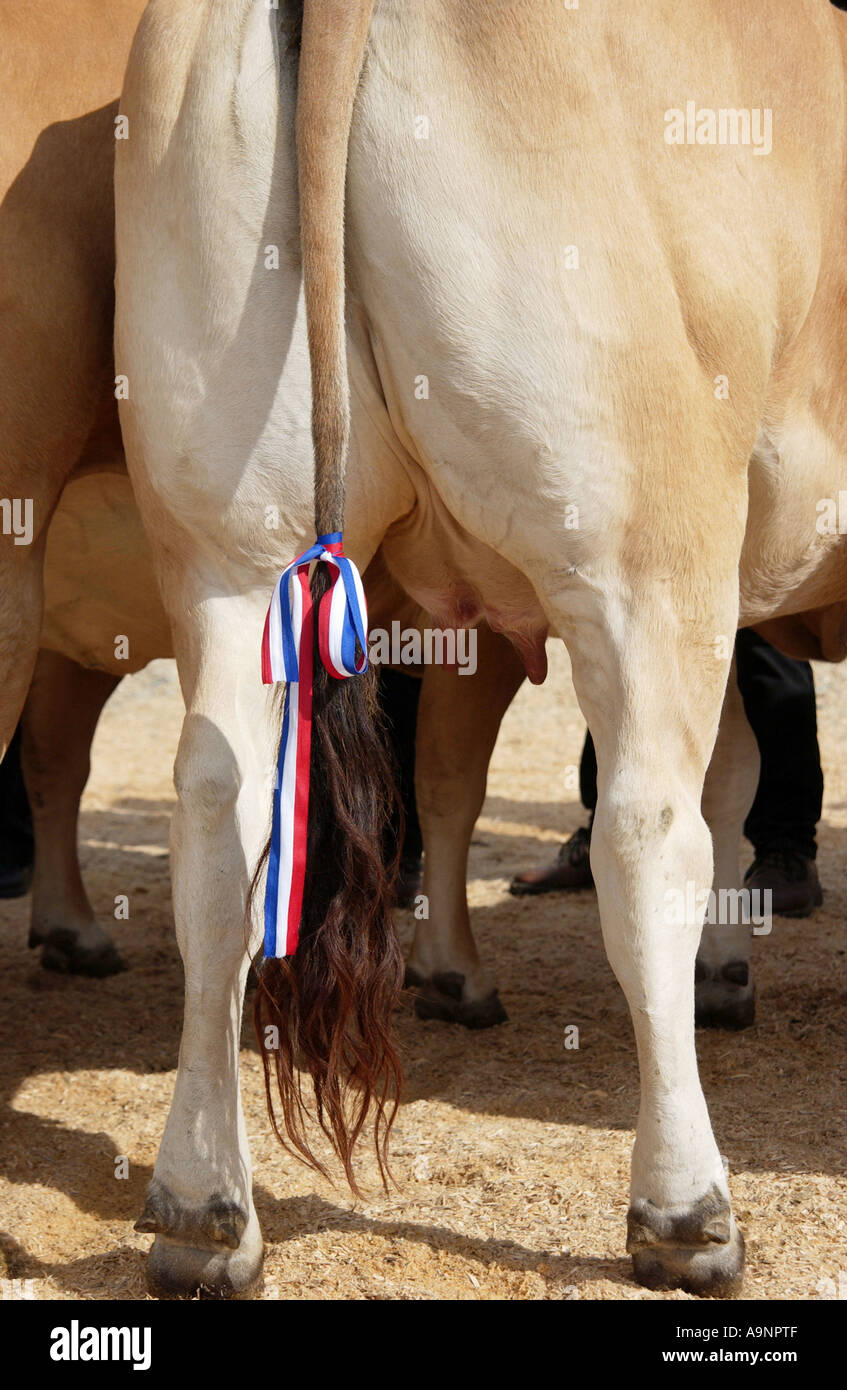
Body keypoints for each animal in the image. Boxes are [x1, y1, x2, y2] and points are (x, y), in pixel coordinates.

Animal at [114, 0, 847, 1301]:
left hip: (221, 544)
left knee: (220, 815)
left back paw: (202, 1211)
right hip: (645, 547)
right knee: (644, 832)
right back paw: (685, 1210)